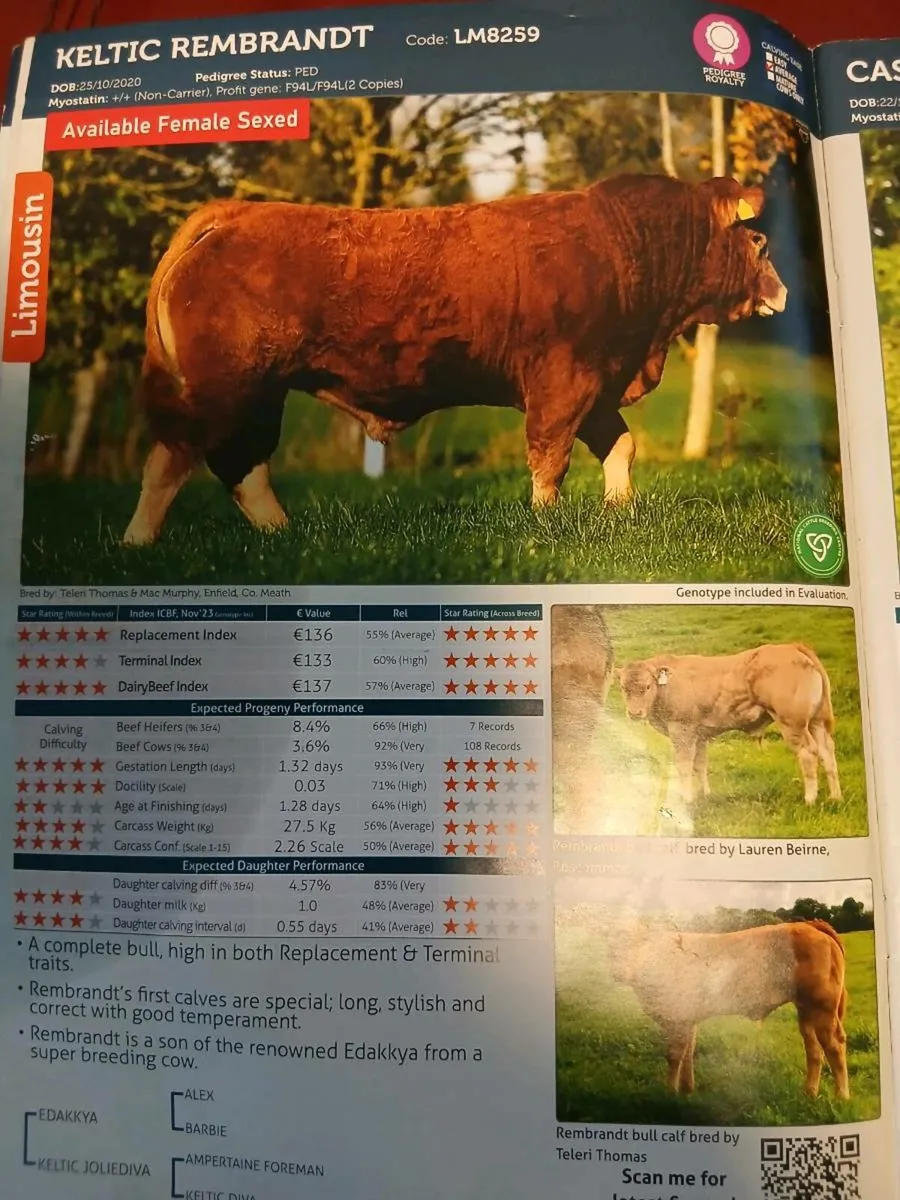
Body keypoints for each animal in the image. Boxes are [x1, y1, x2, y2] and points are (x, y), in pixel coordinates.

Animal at [122, 173, 787, 545]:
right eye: (760, 242)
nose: (780, 292)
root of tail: (238, 211)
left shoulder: (598, 385)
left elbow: (620, 446)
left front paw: (619, 509)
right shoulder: (563, 381)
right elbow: (550, 460)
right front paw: (546, 524)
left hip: (256, 393)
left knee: (231, 464)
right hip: (227, 389)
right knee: (184, 460)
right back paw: (142, 542)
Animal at [608, 919, 850, 1099]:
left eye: (638, 943)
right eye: (611, 947)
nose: (618, 972)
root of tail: (809, 924)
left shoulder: (678, 1016)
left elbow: (674, 1055)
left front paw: (669, 1093)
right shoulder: (689, 1018)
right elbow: (688, 1052)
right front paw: (687, 1089)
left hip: (823, 1007)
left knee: (834, 1046)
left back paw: (842, 1096)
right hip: (806, 1010)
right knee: (814, 1050)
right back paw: (809, 1093)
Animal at [615, 643, 841, 806]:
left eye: (647, 686)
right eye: (623, 688)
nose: (634, 713)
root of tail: (793, 646)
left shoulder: (682, 730)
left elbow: (684, 765)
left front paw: (686, 799)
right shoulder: (700, 735)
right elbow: (700, 765)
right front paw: (704, 794)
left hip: (793, 723)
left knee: (808, 752)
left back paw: (810, 799)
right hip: (817, 721)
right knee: (827, 751)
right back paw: (835, 797)